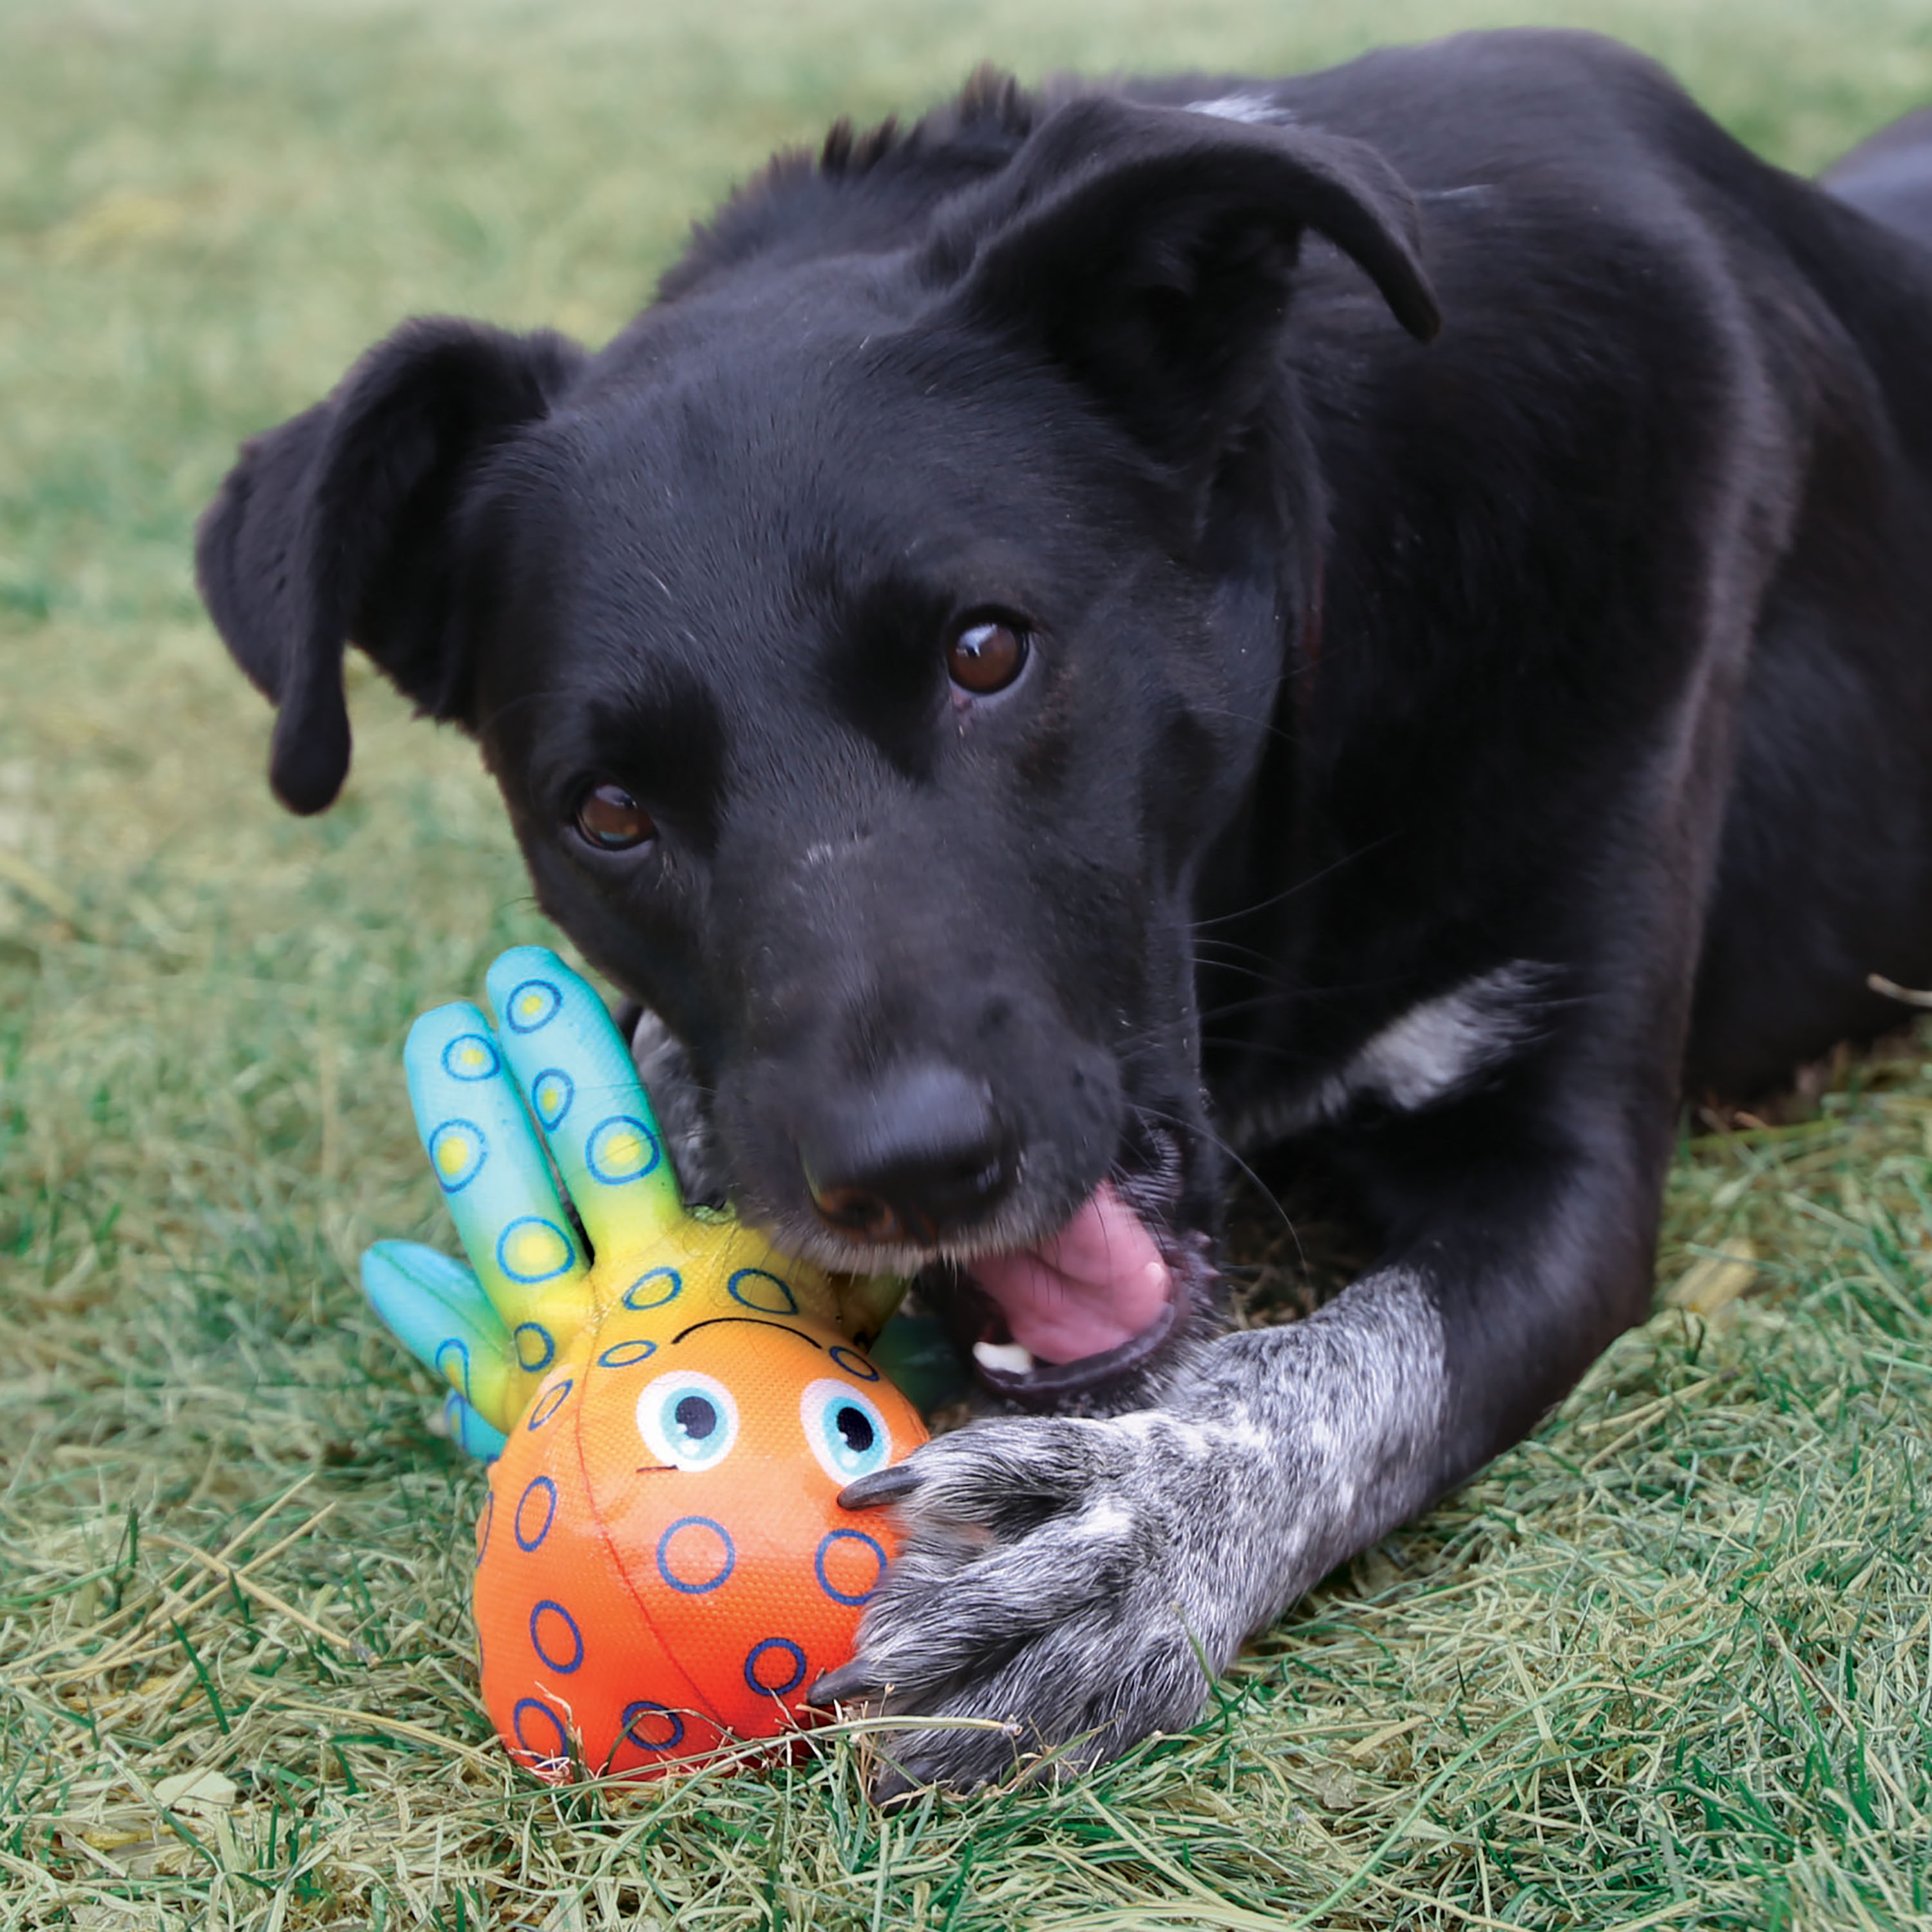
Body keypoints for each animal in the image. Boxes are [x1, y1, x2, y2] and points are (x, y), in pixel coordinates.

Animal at [192, 30, 1932, 1785]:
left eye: (986, 649)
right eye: (604, 811)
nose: (903, 1172)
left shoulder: (1561, 1162)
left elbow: (1354, 1364)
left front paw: (1131, 1538)